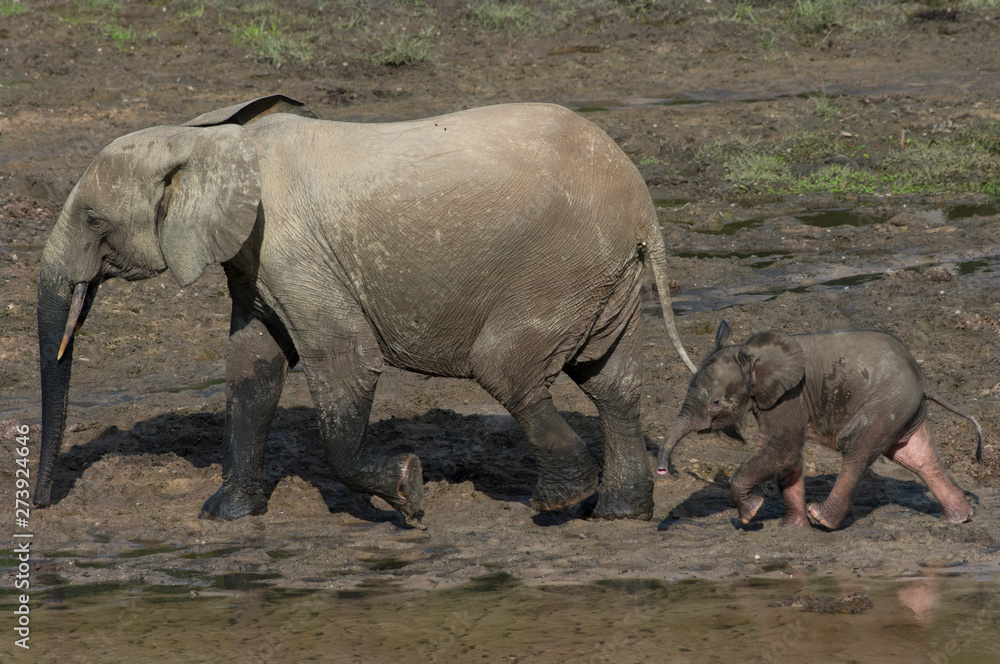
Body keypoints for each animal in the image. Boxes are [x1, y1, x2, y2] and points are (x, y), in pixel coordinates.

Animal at [34, 94, 698, 524]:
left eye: (93, 220)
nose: (40, 506)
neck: (206, 137)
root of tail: (644, 206)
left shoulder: (291, 250)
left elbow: (344, 363)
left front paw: (407, 492)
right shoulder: (256, 260)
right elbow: (252, 368)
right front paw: (224, 517)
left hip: (559, 268)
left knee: (507, 368)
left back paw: (560, 503)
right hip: (603, 278)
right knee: (611, 382)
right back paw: (620, 513)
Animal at [657, 320, 982, 530]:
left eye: (716, 402)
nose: (662, 471)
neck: (753, 353)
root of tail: (922, 375)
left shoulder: (789, 397)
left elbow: (782, 451)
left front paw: (750, 514)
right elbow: (789, 461)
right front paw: (793, 527)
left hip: (887, 402)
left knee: (856, 449)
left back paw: (822, 518)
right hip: (902, 407)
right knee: (917, 457)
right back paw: (960, 518)